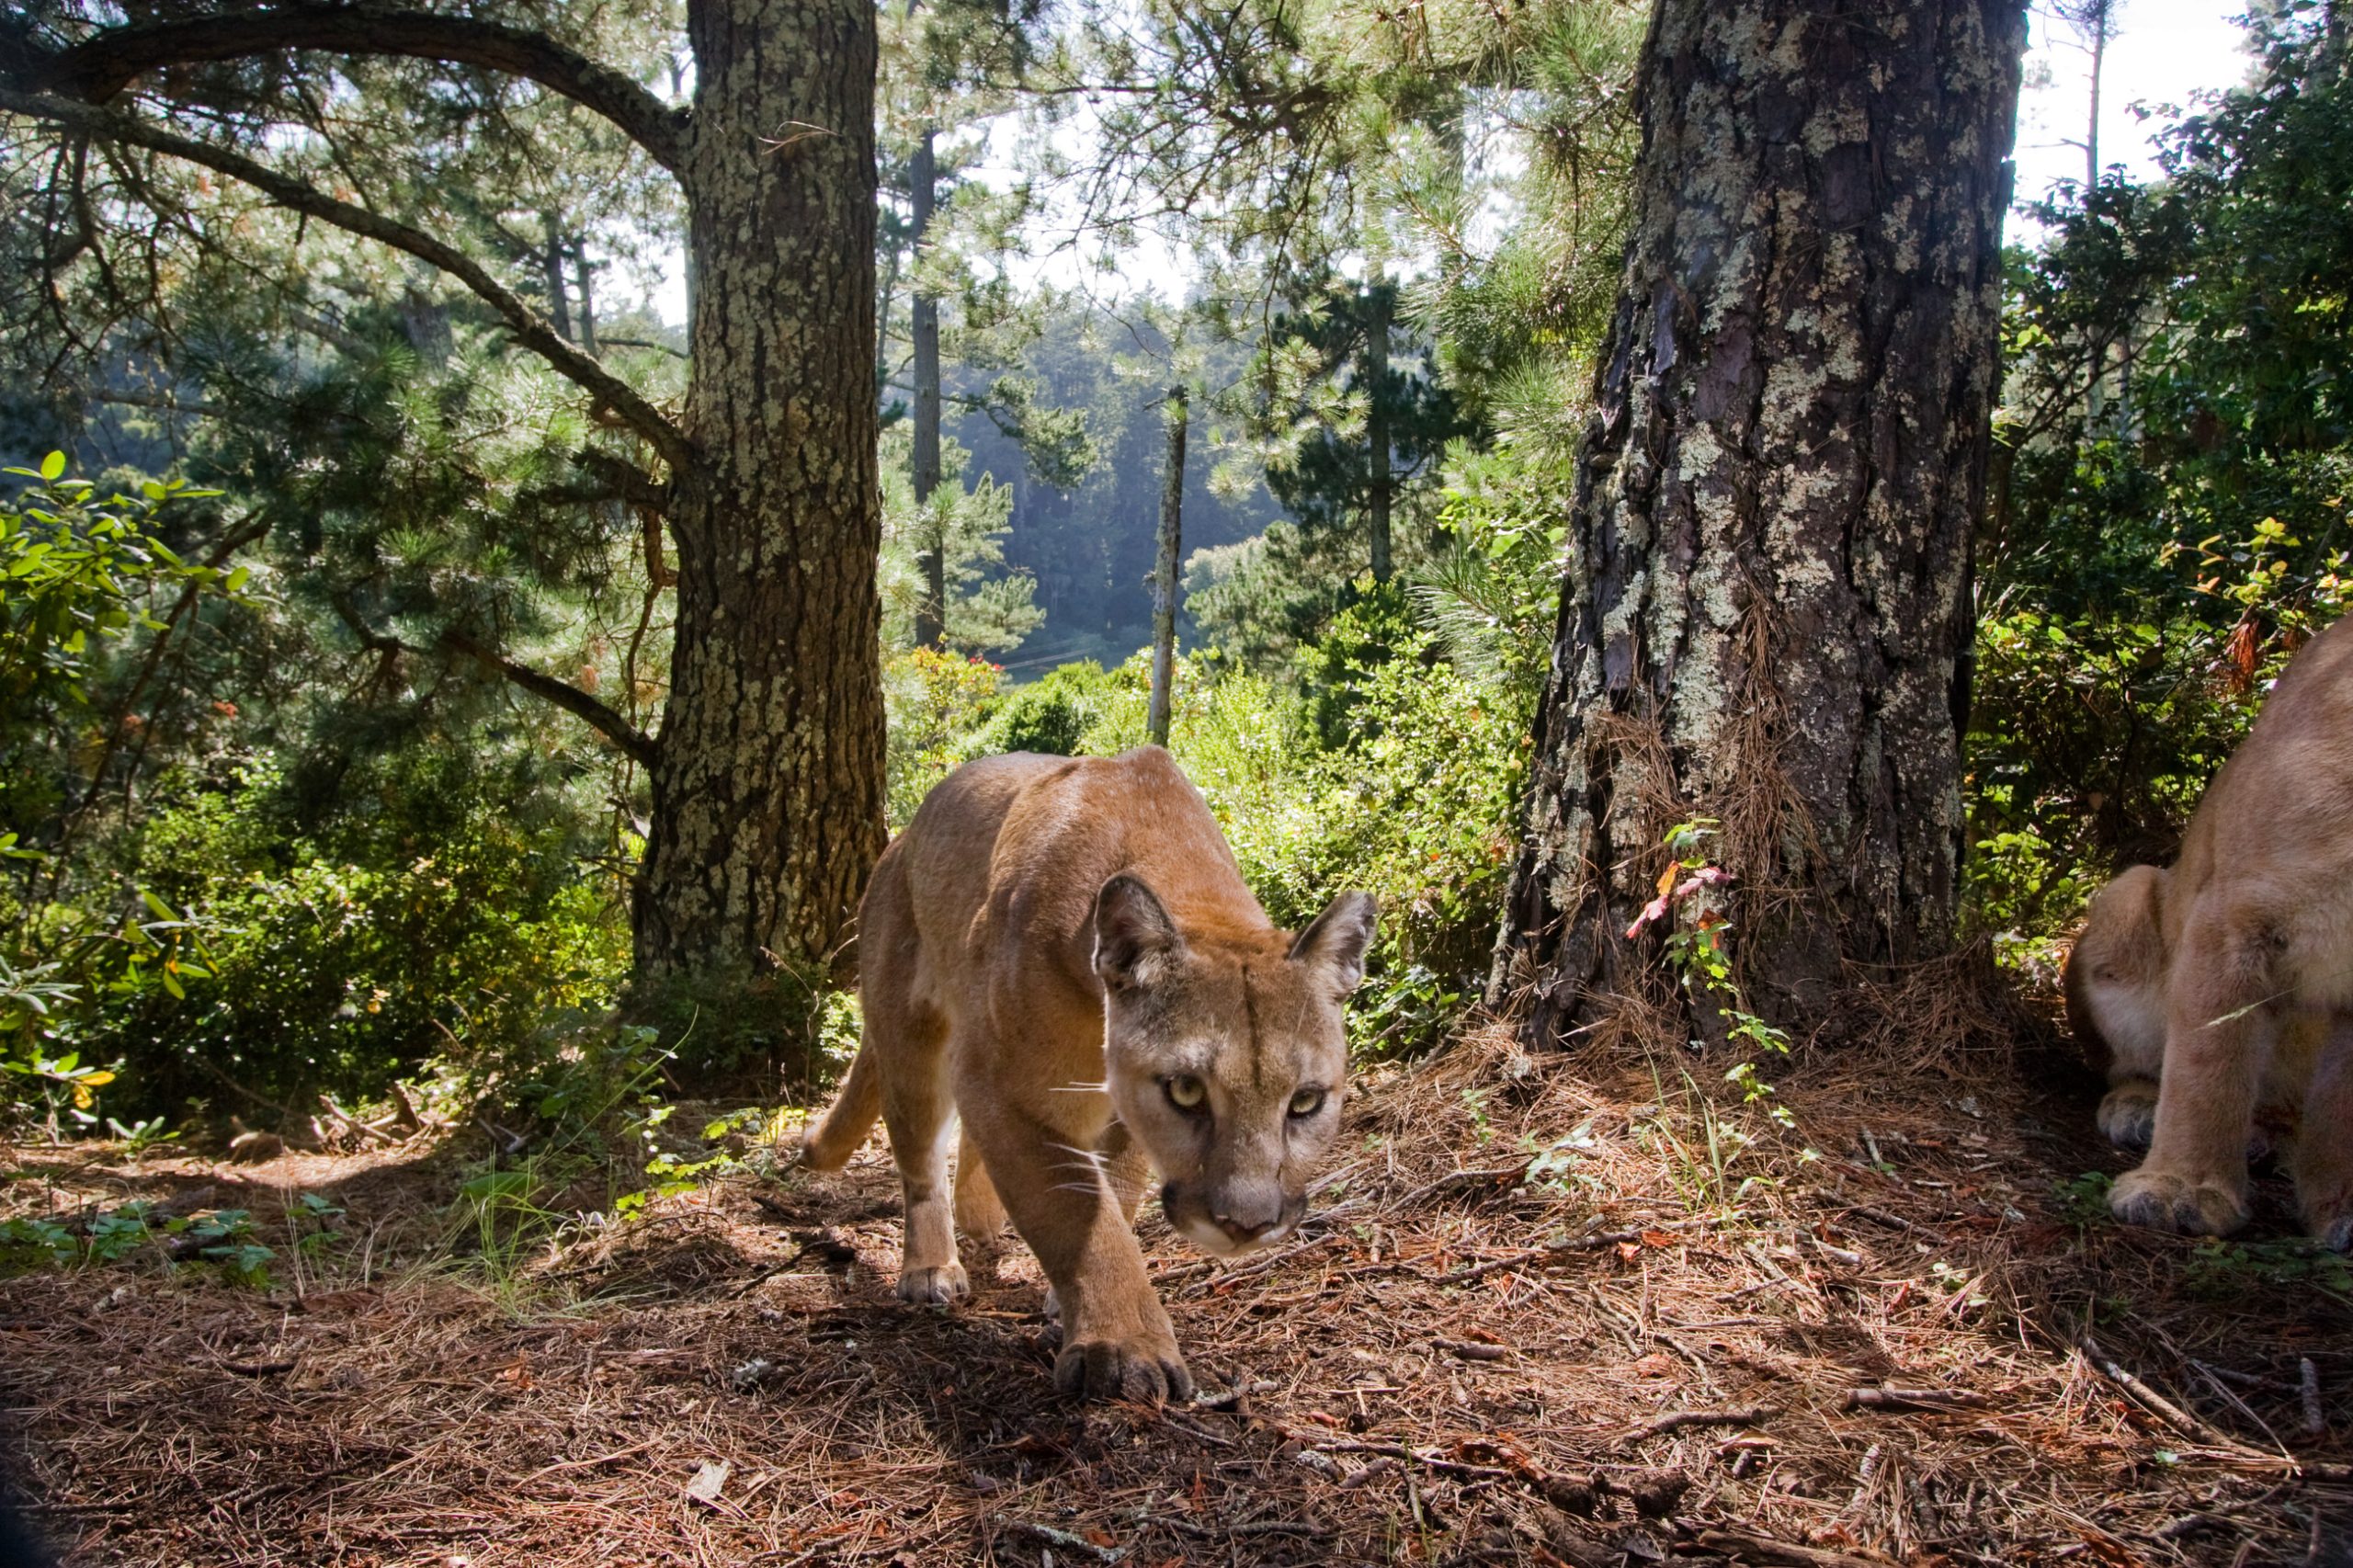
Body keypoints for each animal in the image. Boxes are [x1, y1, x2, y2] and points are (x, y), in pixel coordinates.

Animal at [800, 746, 1377, 1401]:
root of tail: (898, 843)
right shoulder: (1004, 1084)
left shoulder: (1109, 1103)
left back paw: (982, 1220)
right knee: (921, 1161)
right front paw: (1123, 1347)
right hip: (912, 1040)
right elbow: (1077, 1213)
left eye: (1305, 1102)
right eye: (1187, 1091)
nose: (1247, 1225)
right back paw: (930, 1268)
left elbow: (1115, 1191)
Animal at [2064, 614, 2353, 1245]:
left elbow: (2341, 1107)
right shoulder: (2234, 918)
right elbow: (2208, 1060)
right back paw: (2140, 1110)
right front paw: (2182, 1189)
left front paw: (2341, 1208)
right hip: (2130, 895)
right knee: (2128, 1065)